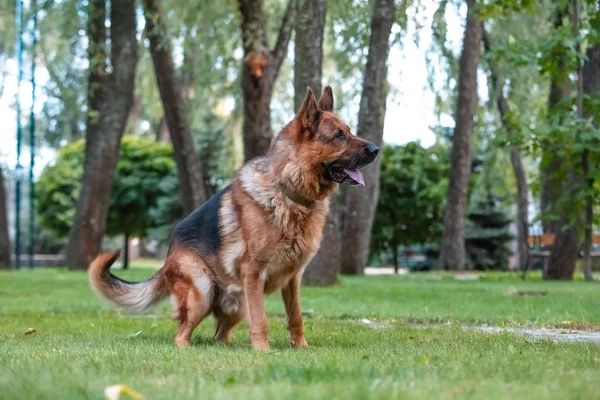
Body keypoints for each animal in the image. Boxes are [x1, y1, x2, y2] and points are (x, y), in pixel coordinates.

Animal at [88, 86, 380, 350]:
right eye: (339, 135)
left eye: (350, 131)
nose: (377, 149)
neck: (287, 190)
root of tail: (167, 260)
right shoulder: (253, 273)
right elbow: (261, 320)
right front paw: (263, 352)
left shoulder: (293, 279)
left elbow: (295, 317)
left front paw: (301, 348)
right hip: (204, 291)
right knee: (182, 334)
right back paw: (190, 348)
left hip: (237, 304)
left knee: (219, 335)